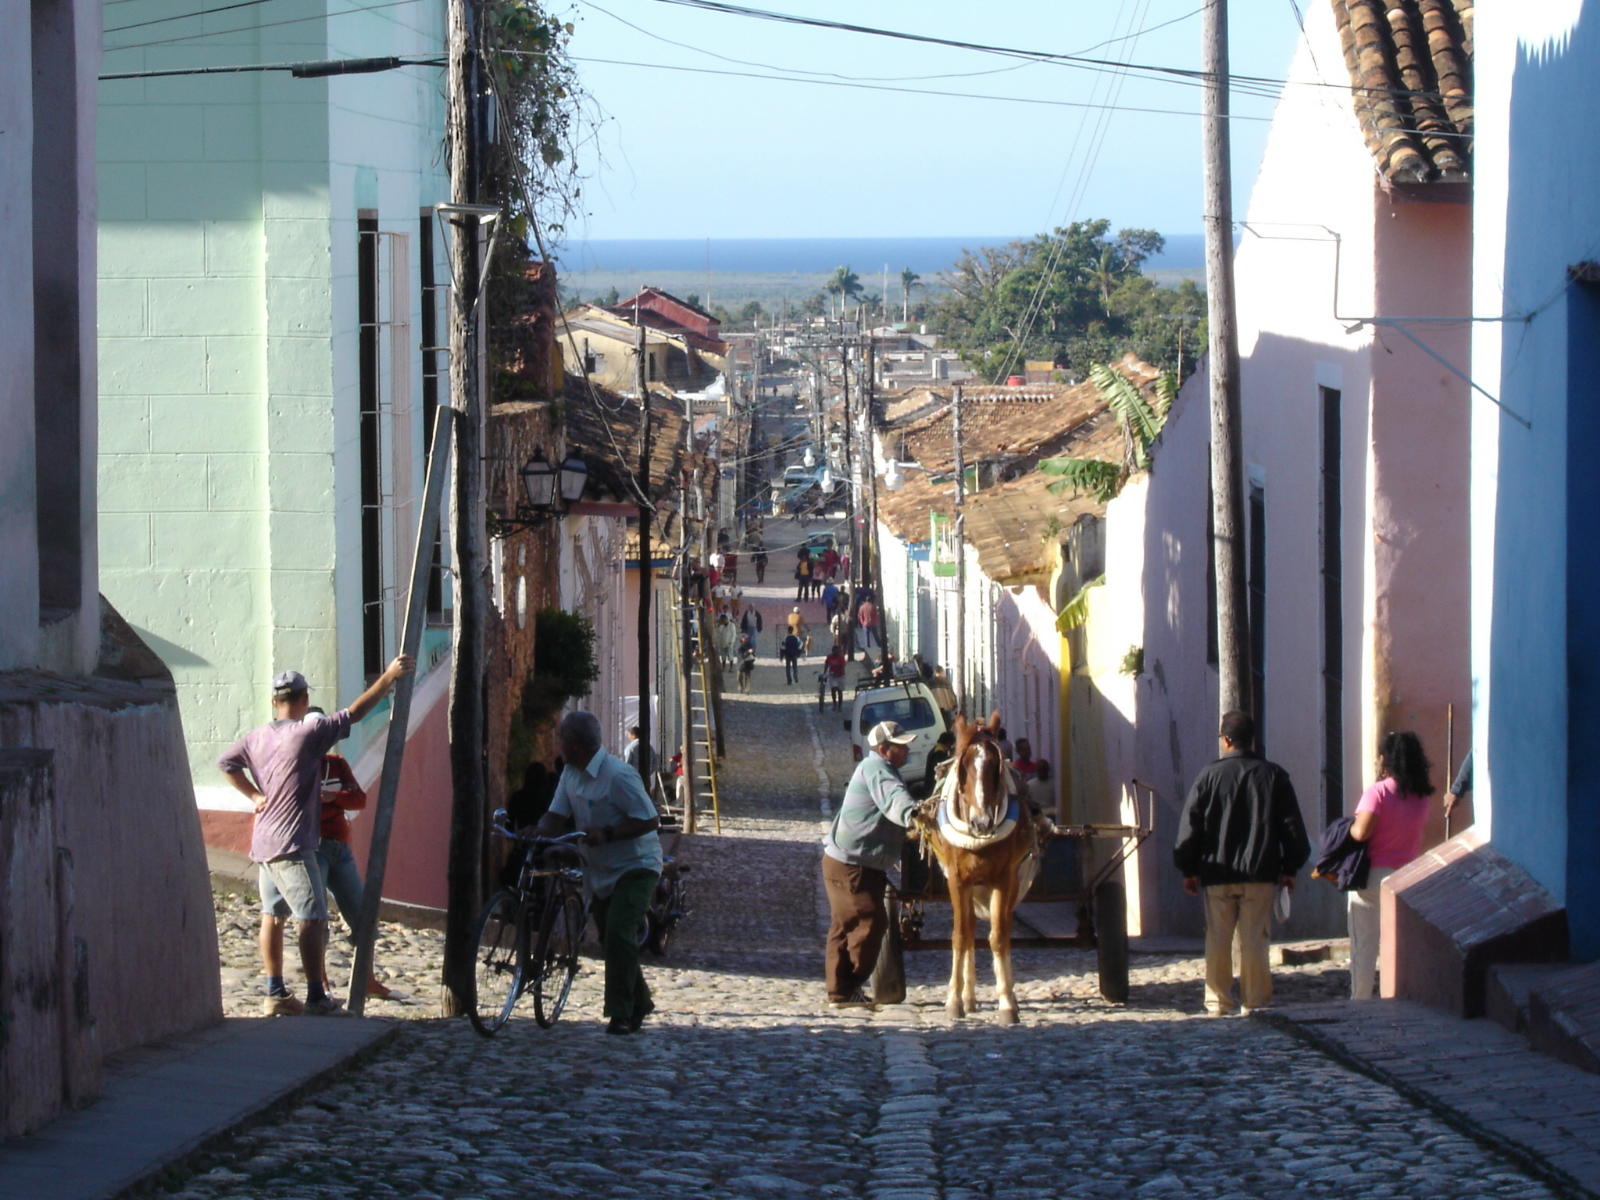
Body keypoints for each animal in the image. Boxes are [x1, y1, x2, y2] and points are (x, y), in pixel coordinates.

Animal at [921, 710, 1043, 1030]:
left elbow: (998, 937)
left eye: (994, 766)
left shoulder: (1004, 878)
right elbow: (960, 936)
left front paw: (1007, 1003)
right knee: (969, 929)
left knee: (998, 928)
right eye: (963, 766)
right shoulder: (957, 879)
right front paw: (954, 1001)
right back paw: (968, 997)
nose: (982, 822)